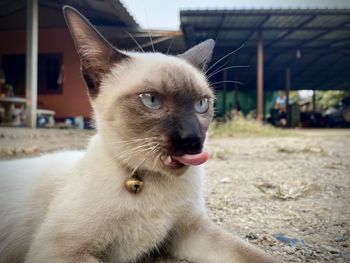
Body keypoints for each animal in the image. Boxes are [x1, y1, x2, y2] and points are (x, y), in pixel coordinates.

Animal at [0, 6, 278, 263]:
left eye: (202, 104)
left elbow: (252, 254)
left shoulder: (190, 230)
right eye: (151, 100)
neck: (149, 180)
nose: (193, 140)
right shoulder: (62, 250)